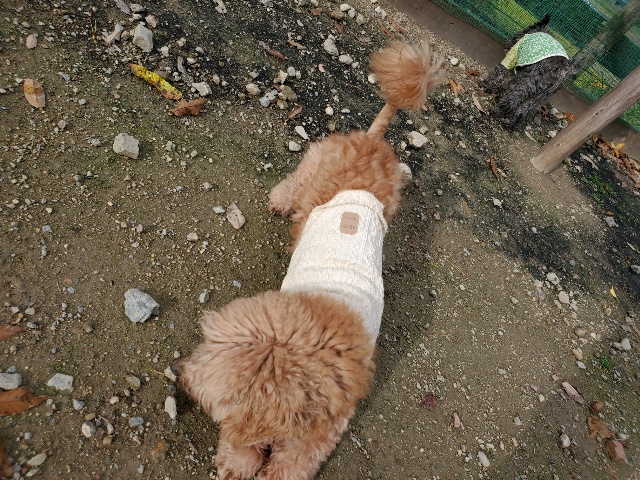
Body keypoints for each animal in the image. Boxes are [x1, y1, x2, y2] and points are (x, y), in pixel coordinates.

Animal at [172, 41, 443, 480]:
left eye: (203, 369)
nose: (178, 369)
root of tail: (372, 139)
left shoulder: (321, 428)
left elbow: (290, 461)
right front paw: (240, 462)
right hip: (314, 169)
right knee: (293, 182)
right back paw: (280, 200)